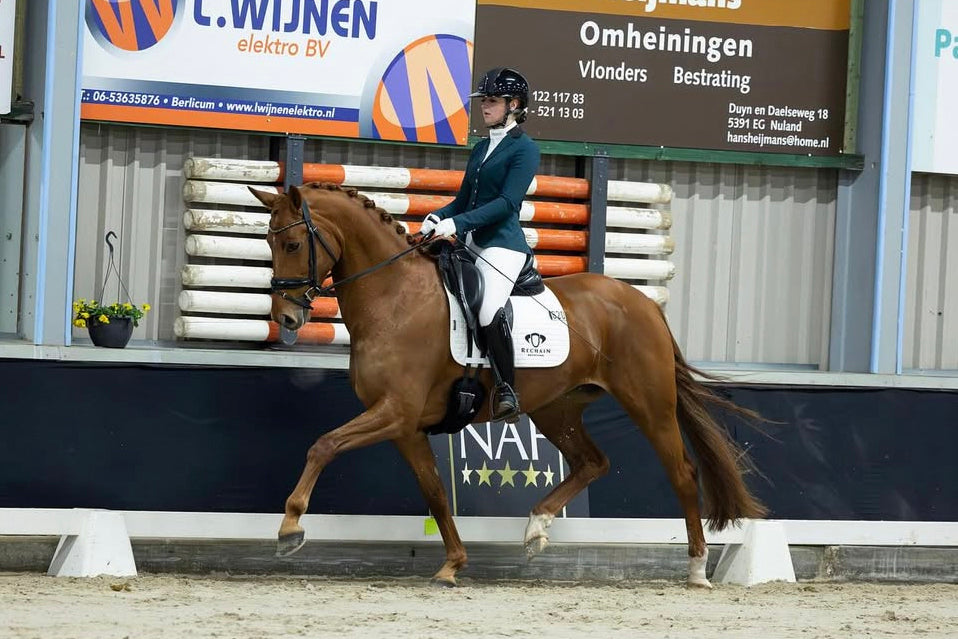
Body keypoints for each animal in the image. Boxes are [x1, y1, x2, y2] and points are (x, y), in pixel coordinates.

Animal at [249, 182, 766, 588]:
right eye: (270, 243)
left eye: (292, 244)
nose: (287, 317)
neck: (393, 298)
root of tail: (642, 302)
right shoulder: (405, 427)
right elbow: (436, 493)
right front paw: (452, 565)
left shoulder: (395, 411)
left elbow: (324, 444)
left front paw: (290, 528)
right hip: (556, 408)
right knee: (592, 462)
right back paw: (536, 528)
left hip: (650, 405)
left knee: (682, 472)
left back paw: (696, 569)